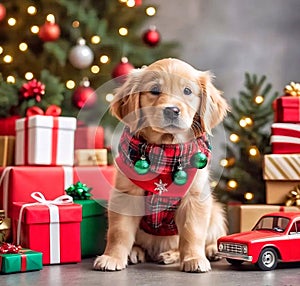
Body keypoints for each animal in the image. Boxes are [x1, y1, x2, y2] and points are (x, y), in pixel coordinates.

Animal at [94, 57, 230, 272]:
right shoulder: (125, 195)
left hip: (215, 213)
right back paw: (137, 252)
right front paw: (112, 257)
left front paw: (193, 258)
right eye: (155, 90)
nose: (172, 111)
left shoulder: (195, 198)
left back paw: (206, 251)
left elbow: (192, 232)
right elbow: (119, 232)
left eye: (187, 91)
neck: (165, 149)